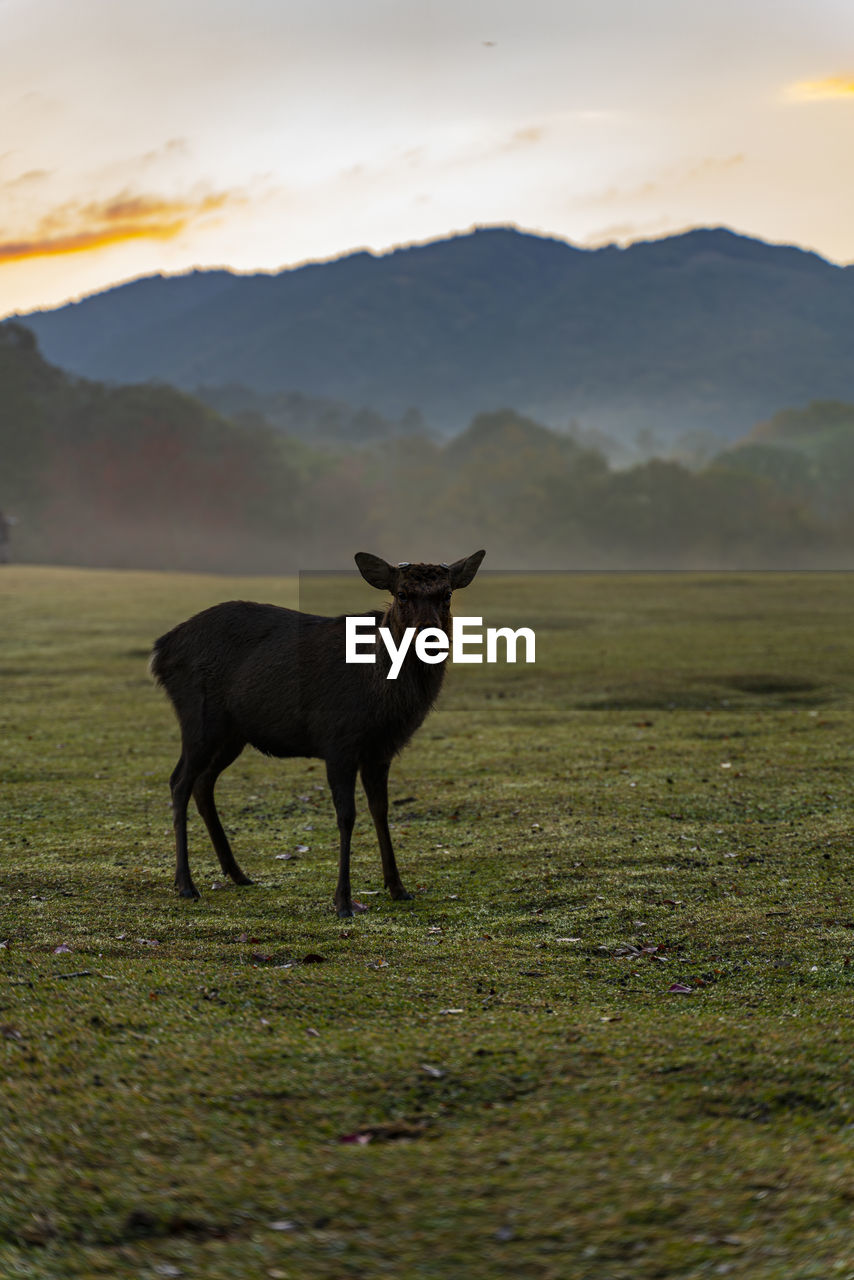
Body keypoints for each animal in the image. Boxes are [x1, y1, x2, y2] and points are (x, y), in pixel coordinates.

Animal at [149, 555, 483, 916]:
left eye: (447, 594)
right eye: (402, 594)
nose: (429, 637)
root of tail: (160, 650)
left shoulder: (381, 749)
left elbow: (381, 810)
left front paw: (398, 887)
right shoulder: (337, 739)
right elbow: (347, 815)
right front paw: (343, 901)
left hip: (232, 734)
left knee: (202, 782)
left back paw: (237, 873)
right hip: (198, 717)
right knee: (179, 781)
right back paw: (185, 884)